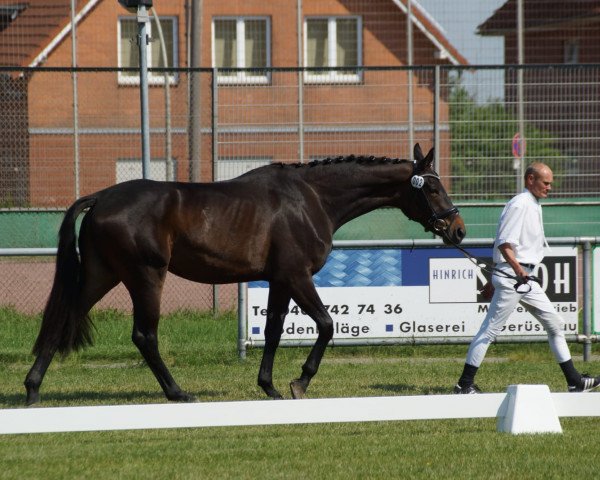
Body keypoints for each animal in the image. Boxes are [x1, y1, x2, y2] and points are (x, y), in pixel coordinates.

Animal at [24, 145, 464, 404]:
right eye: (434, 189)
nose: (458, 229)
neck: (312, 199)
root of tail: (101, 197)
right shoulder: (298, 276)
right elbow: (325, 324)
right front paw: (300, 382)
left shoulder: (280, 280)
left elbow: (272, 331)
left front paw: (269, 385)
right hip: (145, 277)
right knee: (144, 335)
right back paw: (178, 393)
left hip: (102, 276)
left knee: (64, 319)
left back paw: (32, 390)